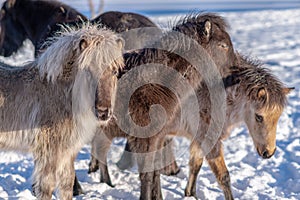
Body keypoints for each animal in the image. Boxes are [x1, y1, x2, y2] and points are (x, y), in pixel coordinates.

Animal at [0, 23, 124, 200]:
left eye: (114, 71)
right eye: (88, 71)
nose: (103, 112)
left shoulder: (67, 152)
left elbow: (67, 184)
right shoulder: (50, 151)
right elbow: (47, 187)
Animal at [86, 12, 239, 198]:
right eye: (223, 45)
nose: (236, 74)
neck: (155, 82)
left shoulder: (158, 137)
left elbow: (155, 172)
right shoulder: (145, 138)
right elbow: (147, 174)